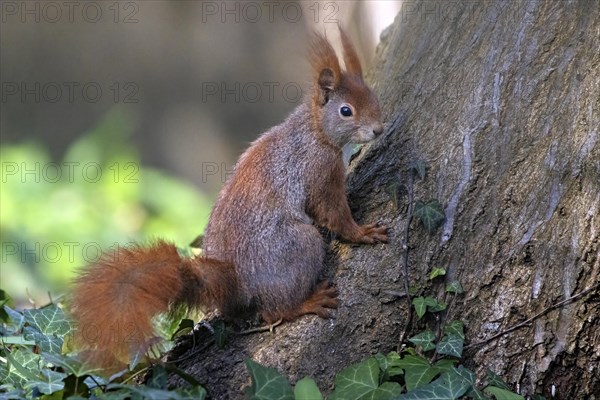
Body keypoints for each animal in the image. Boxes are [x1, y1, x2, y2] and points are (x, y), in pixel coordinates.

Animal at [70, 28, 386, 370]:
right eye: (346, 111)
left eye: (373, 97)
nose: (378, 129)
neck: (315, 132)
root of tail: (232, 282)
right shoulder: (320, 172)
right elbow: (333, 213)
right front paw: (363, 232)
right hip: (298, 245)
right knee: (274, 310)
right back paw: (307, 302)